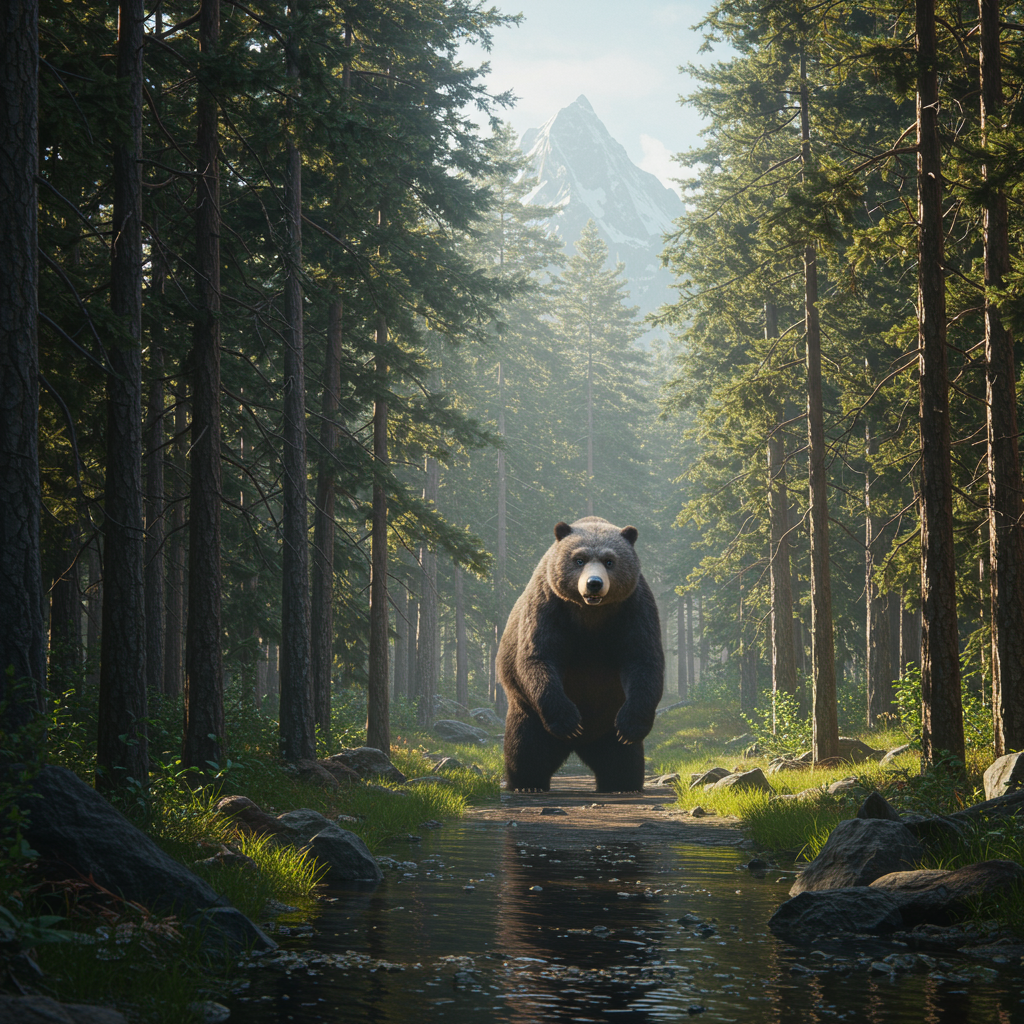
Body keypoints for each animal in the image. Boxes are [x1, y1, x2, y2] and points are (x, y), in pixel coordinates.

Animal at [497, 516, 664, 793]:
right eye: (579, 559)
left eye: (609, 561)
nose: (594, 583)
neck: (590, 613)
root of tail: (579, 745)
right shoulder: (548, 606)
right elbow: (538, 657)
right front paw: (568, 721)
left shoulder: (633, 609)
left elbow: (643, 660)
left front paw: (631, 726)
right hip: (530, 715)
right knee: (527, 750)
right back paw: (527, 783)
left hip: (608, 725)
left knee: (622, 759)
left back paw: (622, 784)